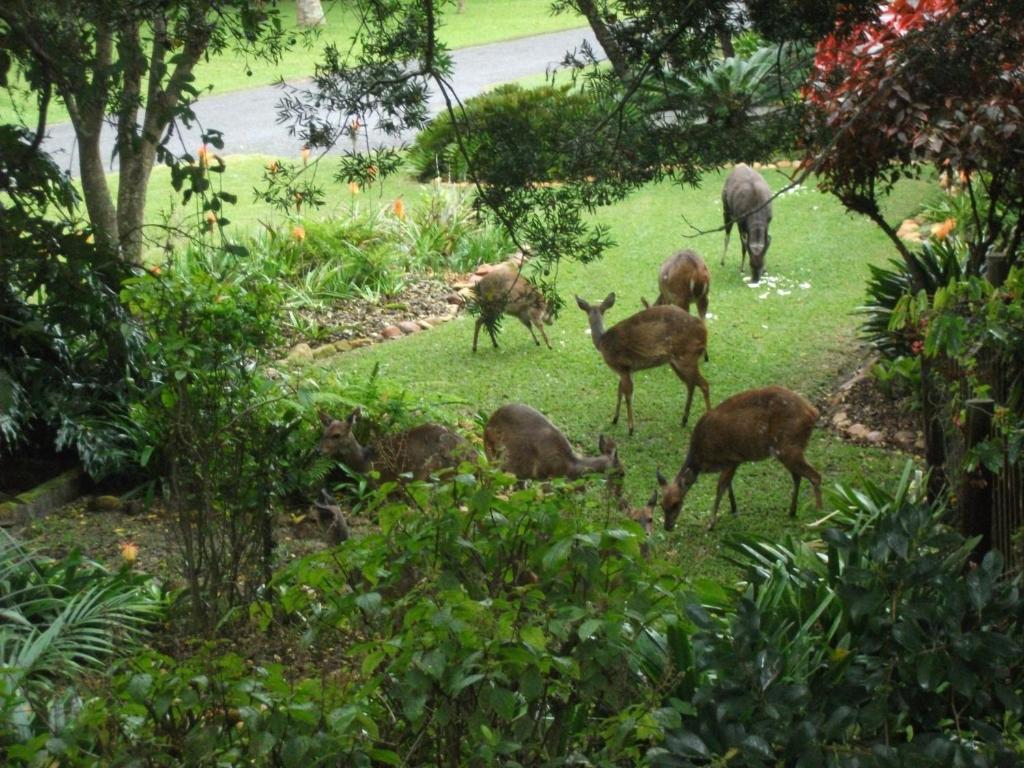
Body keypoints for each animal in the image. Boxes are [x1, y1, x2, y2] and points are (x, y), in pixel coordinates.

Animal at [577, 292, 712, 436]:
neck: (602, 342)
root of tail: (704, 331)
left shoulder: (622, 366)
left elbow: (628, 394)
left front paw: (630, 428)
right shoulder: (627, 370)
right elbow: (620, 391)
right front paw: (615, 419)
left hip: (686, 357)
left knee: (704, 384)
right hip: (676, 361)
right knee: (691, 384)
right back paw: (684, 420)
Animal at [655, 387, 823, 532]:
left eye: (676, 503)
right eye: (661, 504)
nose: (667, 527)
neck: (703, 458)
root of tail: (813, 413)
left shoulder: (731, 459)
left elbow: (720, 488)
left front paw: (710, 524)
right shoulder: (733, 462)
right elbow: (729, 486)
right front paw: (733, 509)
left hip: (787, 448)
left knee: (815, 475)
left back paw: (819, 513)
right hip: (790, 449)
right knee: (798, 476)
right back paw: (792, 511)